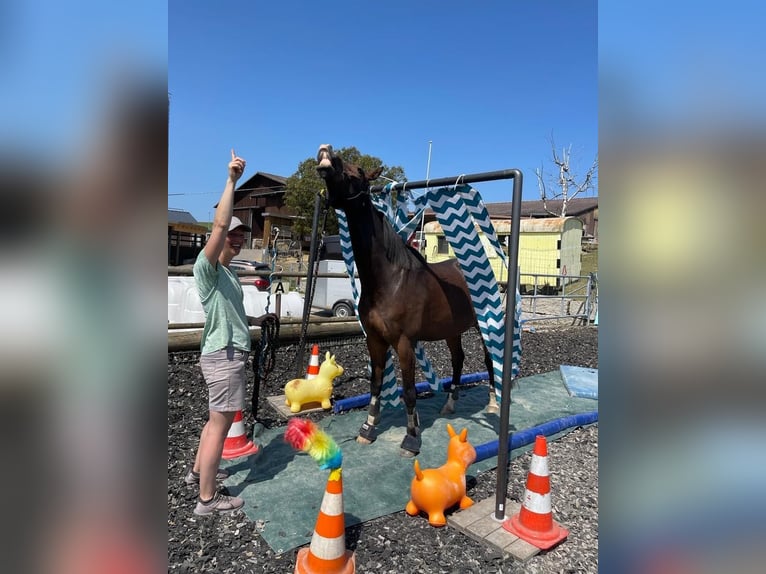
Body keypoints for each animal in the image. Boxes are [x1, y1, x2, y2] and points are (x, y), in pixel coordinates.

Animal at [316, 145, 496, 460]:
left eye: (358, 172)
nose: (327, 153)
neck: (388, 280)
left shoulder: (403, 342)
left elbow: (410, 390)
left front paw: (411, 439)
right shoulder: (375, 340)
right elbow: (376, 383)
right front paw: (367, 429)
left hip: (483, 325)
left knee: (488, 360)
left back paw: (493, 404)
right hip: (452, 330)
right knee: (458, 359)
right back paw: (450, 404)